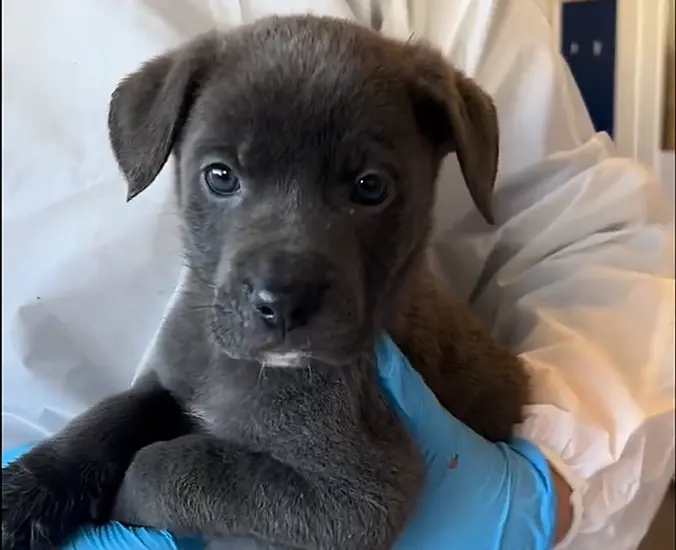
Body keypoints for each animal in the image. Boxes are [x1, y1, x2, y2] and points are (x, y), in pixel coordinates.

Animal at [1, 14, 528, 550]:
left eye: (371, 187)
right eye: (220, 176)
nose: (283, 303)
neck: (238, 366)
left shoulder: (358, 494)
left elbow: (177, 467)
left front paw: (124, 500)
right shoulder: (169, 381)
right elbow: (108, 418)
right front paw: (22, 492)